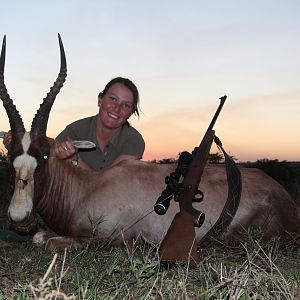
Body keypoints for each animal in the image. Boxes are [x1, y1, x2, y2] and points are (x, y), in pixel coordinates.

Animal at [0, 34, 300, 253]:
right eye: (10, 157)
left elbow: (49, 242)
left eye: (44, 156)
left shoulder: (110, 238)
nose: (18, 217)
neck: (86, 188)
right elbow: (40, 237)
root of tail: (286, 199)